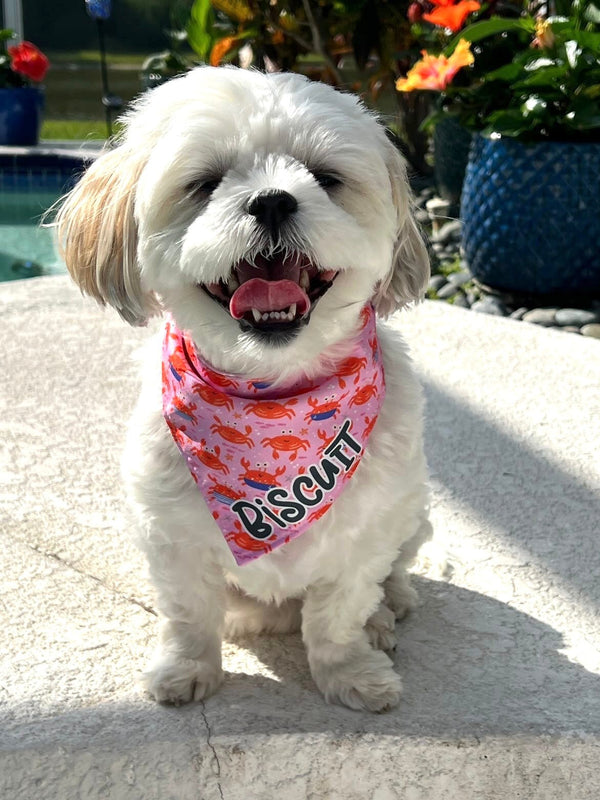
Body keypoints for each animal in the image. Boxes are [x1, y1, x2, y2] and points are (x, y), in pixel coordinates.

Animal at [56, 64, 432, 712]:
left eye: (326, 178)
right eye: (205, 184)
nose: (273, 200)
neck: (271, 396)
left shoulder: (366, 533)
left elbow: (340, 613)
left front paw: (351, 672)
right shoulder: (172, 533)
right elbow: (187, 614)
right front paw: (187, 669)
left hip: (416, 511)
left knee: (396, 573)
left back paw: (389, 612)